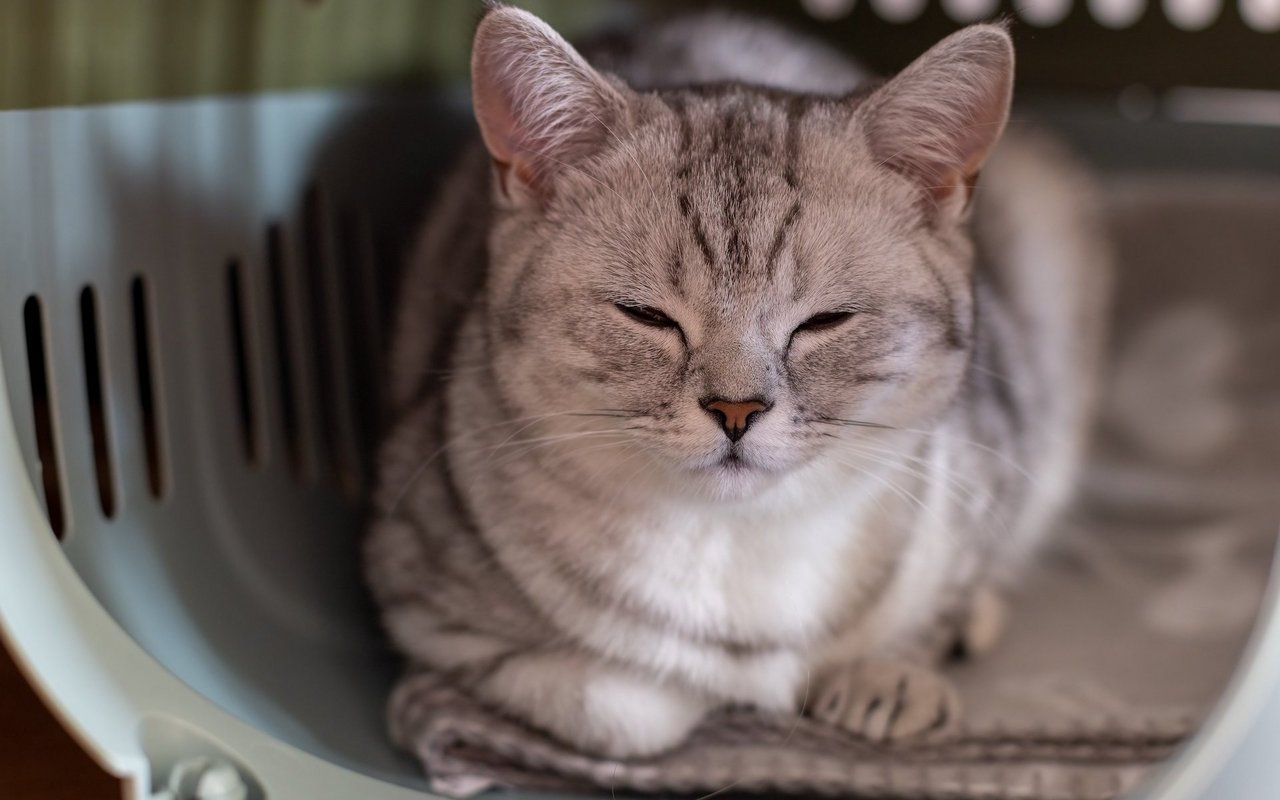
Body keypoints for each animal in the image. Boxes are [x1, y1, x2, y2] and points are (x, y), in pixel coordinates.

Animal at [363, 3, 1111, 757]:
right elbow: (619, 707)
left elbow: (933, 602)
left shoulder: (986, 464)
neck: (737, 541)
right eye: (646, 315)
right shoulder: (417, 597)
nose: (735, 409)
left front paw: (890, 674)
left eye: (825, 321)